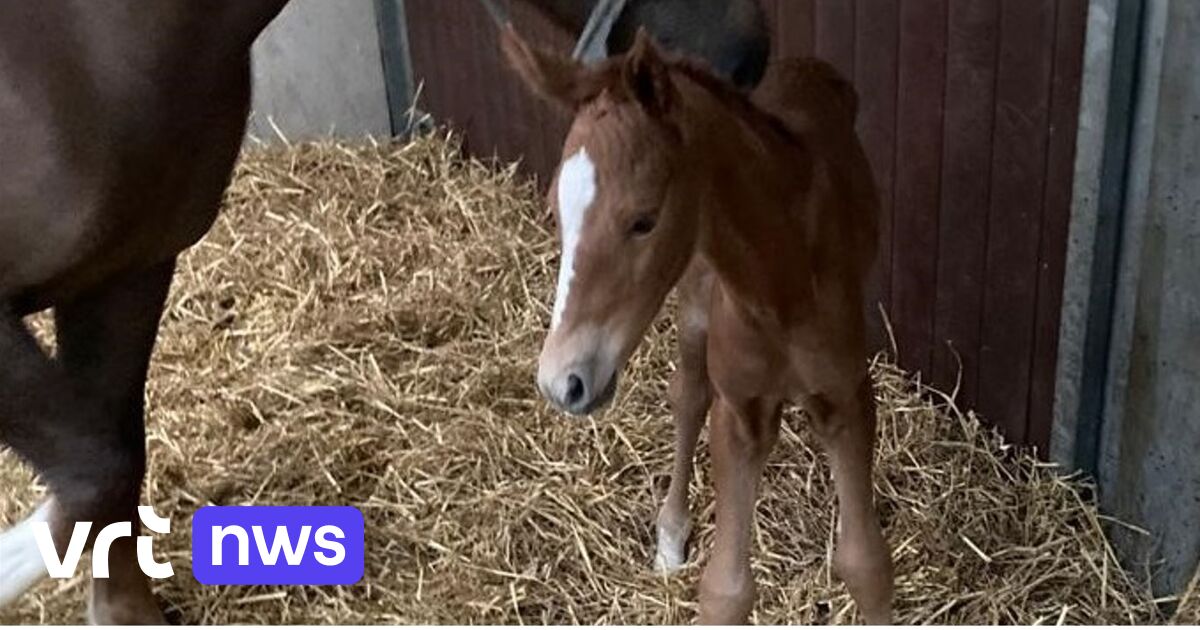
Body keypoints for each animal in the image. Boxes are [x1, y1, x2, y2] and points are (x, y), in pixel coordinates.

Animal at [501, 28, 897, 619]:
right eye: (555, 212)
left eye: (643, 220)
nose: (561, 382)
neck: (779, 288)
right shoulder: (738, 413)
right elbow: (726, 590)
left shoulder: (847, 396)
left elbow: (866, 566)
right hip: (692, 305)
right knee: (688, 395)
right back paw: (670, 537)